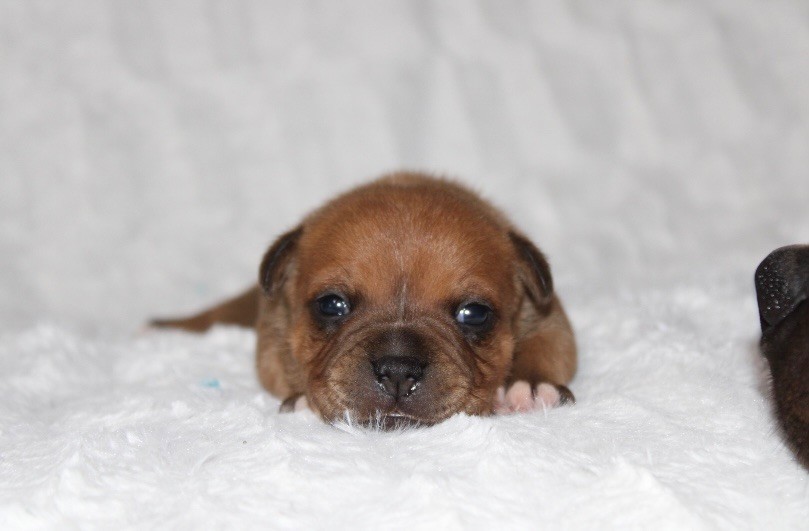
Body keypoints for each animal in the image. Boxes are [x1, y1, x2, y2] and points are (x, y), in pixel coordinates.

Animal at [153, 173, 577, 427]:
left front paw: (530, 386)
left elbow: (547, 347)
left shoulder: (548, 315)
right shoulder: (271, 335)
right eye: (331, 305)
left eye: (473, 314)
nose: (398, 371)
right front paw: (305, 401)